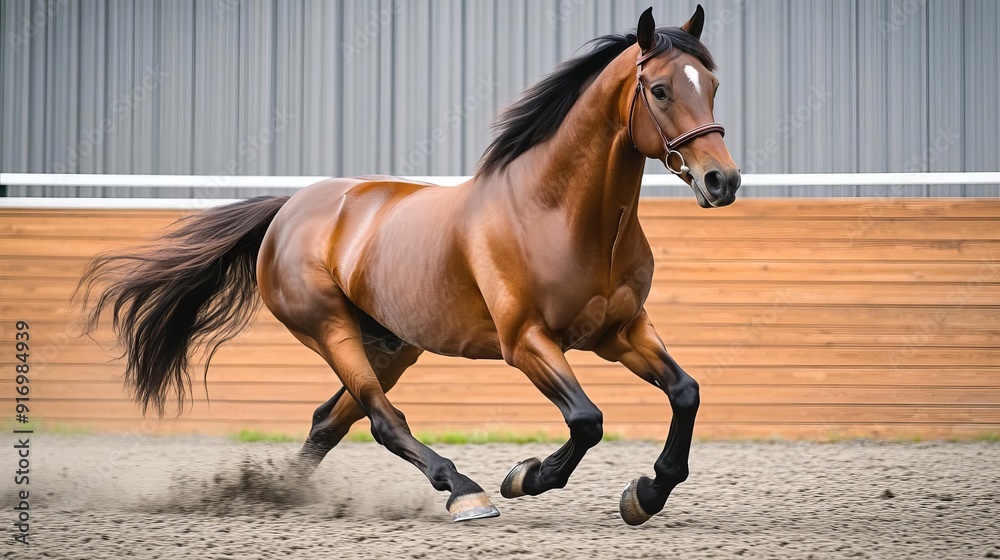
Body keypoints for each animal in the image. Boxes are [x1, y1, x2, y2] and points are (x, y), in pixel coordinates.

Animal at [77, 6, 740, 525]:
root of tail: (289, 209)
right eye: (659, 90)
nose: (722, 181)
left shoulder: (620, 332)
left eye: (711, 84)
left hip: (392, 345)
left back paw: (280, 494)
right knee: (380, 419)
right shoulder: (526, 341)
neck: (559, 215)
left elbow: (686, 393)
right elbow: (587, 419)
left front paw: (646, 494)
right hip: (331, 331)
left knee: (329, 420)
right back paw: (465, 492)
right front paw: (523, 476)